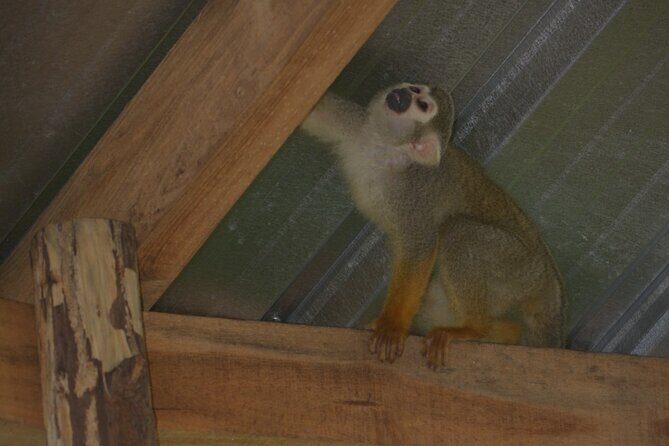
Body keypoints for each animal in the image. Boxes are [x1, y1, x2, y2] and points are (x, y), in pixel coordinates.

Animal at [301, 83, 565, 368]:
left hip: (519, 268)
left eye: (423, 106)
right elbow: (316, 114)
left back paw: (474, 329)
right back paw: (506, 332)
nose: (402, 94)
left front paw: (392, 327)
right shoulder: (357, 125)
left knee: (458, 232)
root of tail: (551, 282)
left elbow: (420, 246)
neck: (385, 150)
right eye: (415, 89)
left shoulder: (414, 195)